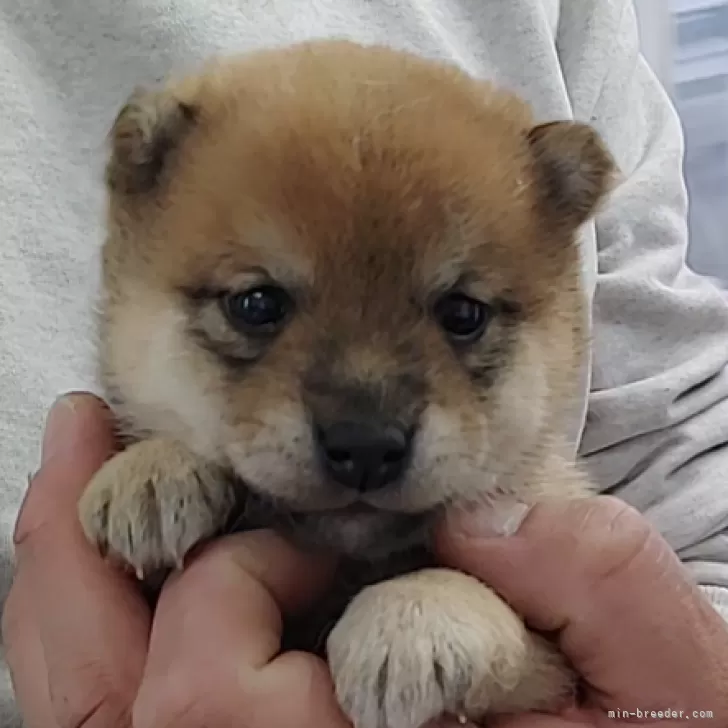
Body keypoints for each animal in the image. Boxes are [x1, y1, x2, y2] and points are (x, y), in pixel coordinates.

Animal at [78, 41, 616, 728]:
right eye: (257, 304)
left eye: (462, 314)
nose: (365, 447)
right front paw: (154, 469)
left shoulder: (556, 670)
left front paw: (416, 616)